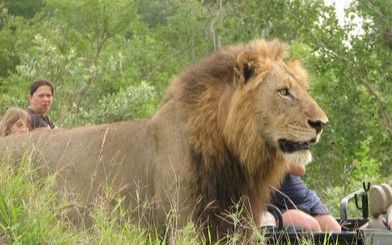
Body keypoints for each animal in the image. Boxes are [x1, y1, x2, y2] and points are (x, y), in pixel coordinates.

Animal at [0, 38, 326, 241]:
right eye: (284, 92)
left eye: (305, 90)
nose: (321, 123)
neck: (231, 154)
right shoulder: (181, 224)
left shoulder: (238, 224)